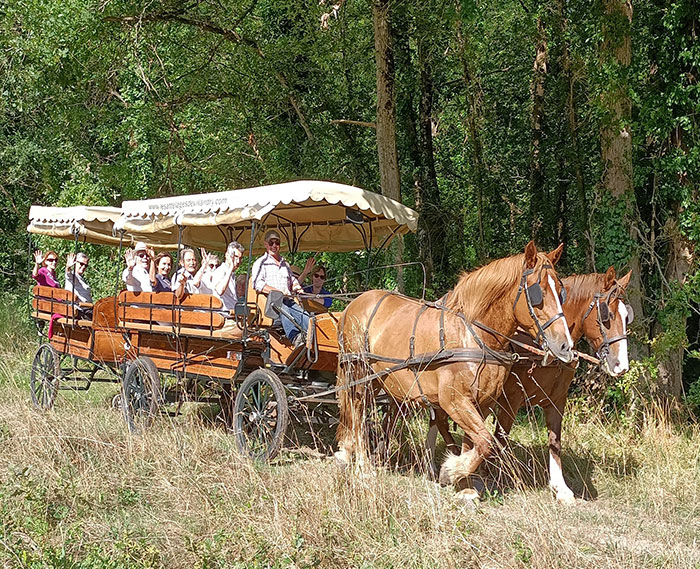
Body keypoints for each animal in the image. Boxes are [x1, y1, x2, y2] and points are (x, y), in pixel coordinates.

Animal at [338, 242, 576, 500]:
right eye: (537, 292)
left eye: (561, 291)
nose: (566, 346)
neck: (472, 336)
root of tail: (354, 303)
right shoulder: (455, 400)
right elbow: (486, 441)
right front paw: (451, 472)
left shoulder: (482, 403)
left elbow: (474, 443)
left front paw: (466, 485)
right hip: (358, 373)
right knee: (357, 412)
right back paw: (362, 465)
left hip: (378, 380)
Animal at [426, 266, 636, 502]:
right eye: (607, 315)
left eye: (626, 316)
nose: (621, 365)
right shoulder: (510, 400)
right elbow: (500, 439)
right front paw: (490, 476)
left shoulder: (557, 400)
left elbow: (555, 441)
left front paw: (560, 488)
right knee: (439, 421)